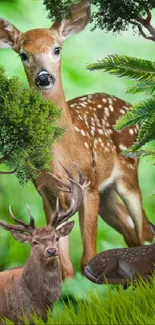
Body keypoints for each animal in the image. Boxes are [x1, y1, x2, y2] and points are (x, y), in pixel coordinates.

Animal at [0, 0, 153, 278]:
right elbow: (65, 267)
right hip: (107, 194)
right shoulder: (47, 192)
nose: (44, 77)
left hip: (127, 173)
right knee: (130, 232)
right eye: (23, 54)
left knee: (144, 231)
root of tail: (129, 106)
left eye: (57, 49)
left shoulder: (88, 184)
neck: (61, 155)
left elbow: (88, 258)